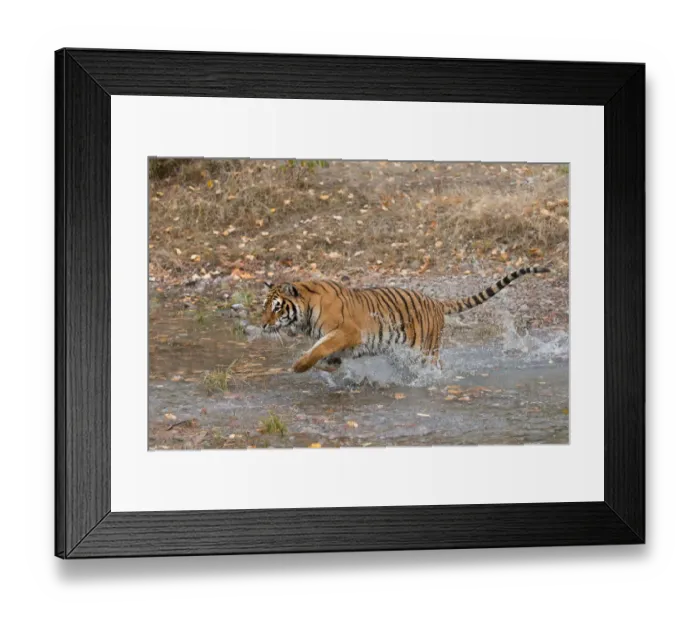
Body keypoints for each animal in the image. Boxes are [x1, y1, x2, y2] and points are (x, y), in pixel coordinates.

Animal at [260, 266, 550, 373]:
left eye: (277, 308)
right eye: (264, 306)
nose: (262, 324)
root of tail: (435, 301)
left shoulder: (346, 332)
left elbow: (319, 348)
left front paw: (299, 366)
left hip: (426, 350)